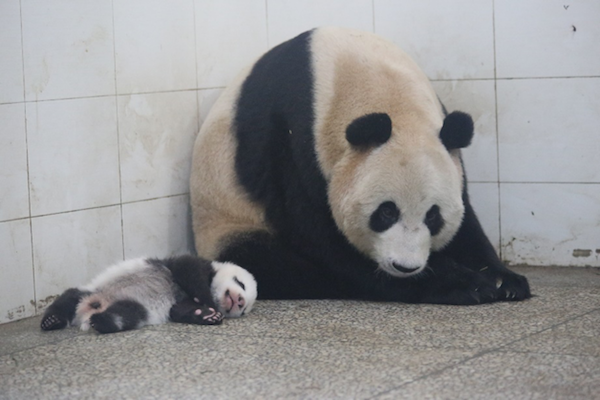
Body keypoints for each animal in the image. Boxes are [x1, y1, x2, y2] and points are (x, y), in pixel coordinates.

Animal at [191, 26, 528, 304]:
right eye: (386, 212)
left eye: (434, 216)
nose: (405, 267)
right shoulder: (291, 141)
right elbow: (322, 236)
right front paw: (463, 283)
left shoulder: (446, 144)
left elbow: (466, 217)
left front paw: (503, 280)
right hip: (226, 218)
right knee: (269, 262)